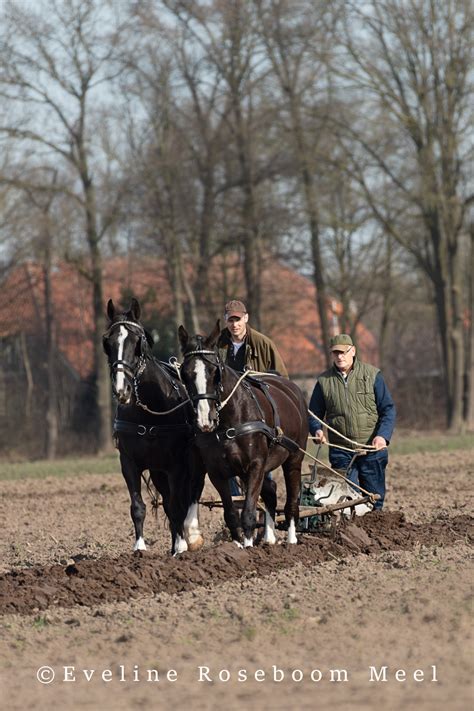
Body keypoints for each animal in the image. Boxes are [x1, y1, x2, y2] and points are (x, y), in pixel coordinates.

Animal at [103, 298, 205, 556]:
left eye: (137, 341)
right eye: (108, 342)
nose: (122, 390)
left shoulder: (176, 465)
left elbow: (177, 505)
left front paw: (181, 547)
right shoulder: (129, 462)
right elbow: (137, 506)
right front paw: (140, 546)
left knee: (188, 496)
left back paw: (187, 539)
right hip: (158, 471)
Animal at [177, 320, 308, 548]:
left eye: (215, 371)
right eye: (185, 374)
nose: (205, 419)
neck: (230, 420)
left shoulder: (255, 465)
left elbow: (248, 512)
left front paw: (248, 547)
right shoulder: (217, 471)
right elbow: (231, 514)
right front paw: (238, 545)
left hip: (294, 457)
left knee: (292, 498)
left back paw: (291, 540)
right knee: (271, 491)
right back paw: (269, 537)